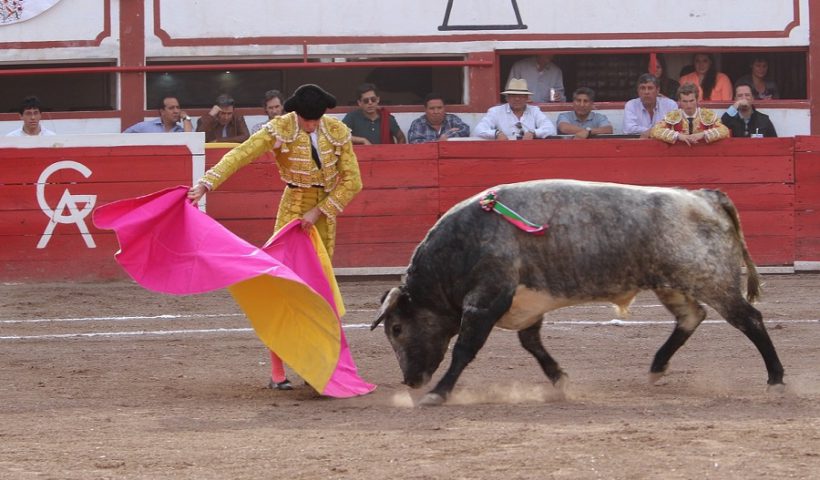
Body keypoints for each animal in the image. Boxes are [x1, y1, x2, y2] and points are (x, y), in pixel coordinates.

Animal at [370, 180, 780, 404]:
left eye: (397, 329)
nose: (410, 381)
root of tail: (704, 197)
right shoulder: (525, 305)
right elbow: (532, 344)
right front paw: (561, 380)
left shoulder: (485, 301)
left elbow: (464, 350)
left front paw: (439, 393)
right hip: (671, 282)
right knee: (691, 316)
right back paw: (656, 367)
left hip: (710, 278)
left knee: (749, 320)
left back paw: (776, 380)